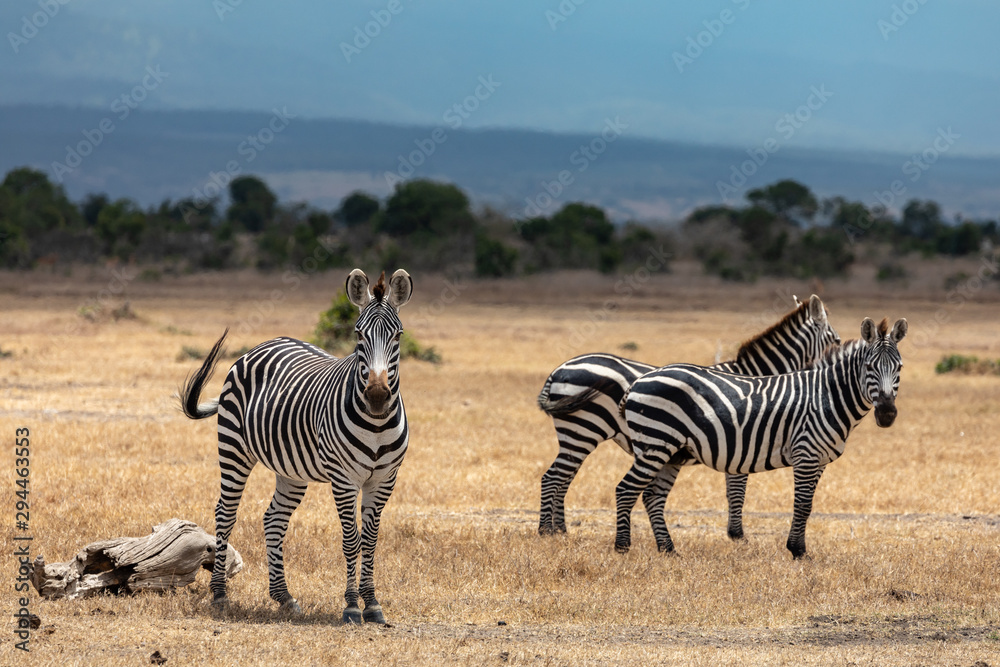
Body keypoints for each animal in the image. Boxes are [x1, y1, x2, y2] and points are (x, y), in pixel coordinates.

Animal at [178, 269, 412, 624]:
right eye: (358, 336)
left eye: (397, 336)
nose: (376, 396)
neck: (376, 423)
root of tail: (266, 343)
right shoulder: (344, 480)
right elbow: (352, 540)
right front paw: (351, 606)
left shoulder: (385, 479)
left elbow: (371, 541)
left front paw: (372, 604)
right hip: (233, 449)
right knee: (225, 513)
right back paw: (219, 595)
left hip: (291, 470)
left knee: (273, 519)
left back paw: (284, 597)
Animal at [536, 295, 840, 545]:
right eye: (836, 341)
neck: (753, 378)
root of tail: (560, 369)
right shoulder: (743, 438)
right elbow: (737, 491)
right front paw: (738, 537)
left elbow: (733, 490)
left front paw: (735, 534)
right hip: (583, 429)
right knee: (553, 477)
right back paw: (545, 532)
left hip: (577, 434)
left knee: (564, 478)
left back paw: (560, 531)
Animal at [616, 316, 906, 558]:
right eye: (869, 367)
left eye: (900, 368)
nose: (887, 414)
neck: (827, 396)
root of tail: (642, 378)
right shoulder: (806, 454)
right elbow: (802, 504)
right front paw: (798, 551)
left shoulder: (820, 460)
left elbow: (808, 505)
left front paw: (797, 548)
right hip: (655, 443)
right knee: (626, 489)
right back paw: (622, 548)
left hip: (672, 451)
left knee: (652, 496)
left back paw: (668, 550)